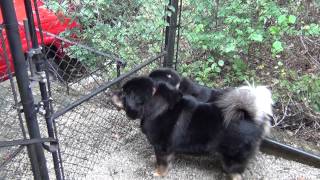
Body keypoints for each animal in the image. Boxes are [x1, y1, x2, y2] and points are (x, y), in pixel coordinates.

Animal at [112, 72, 272, 179]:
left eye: (124, 94)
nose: (112, 93)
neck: (152, 103)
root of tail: (252, 118)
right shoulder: (168, 148)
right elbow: (166, 160)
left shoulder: (161, 147)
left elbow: (162, 164)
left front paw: (158, 173)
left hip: (232, 159)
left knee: (236, 174)